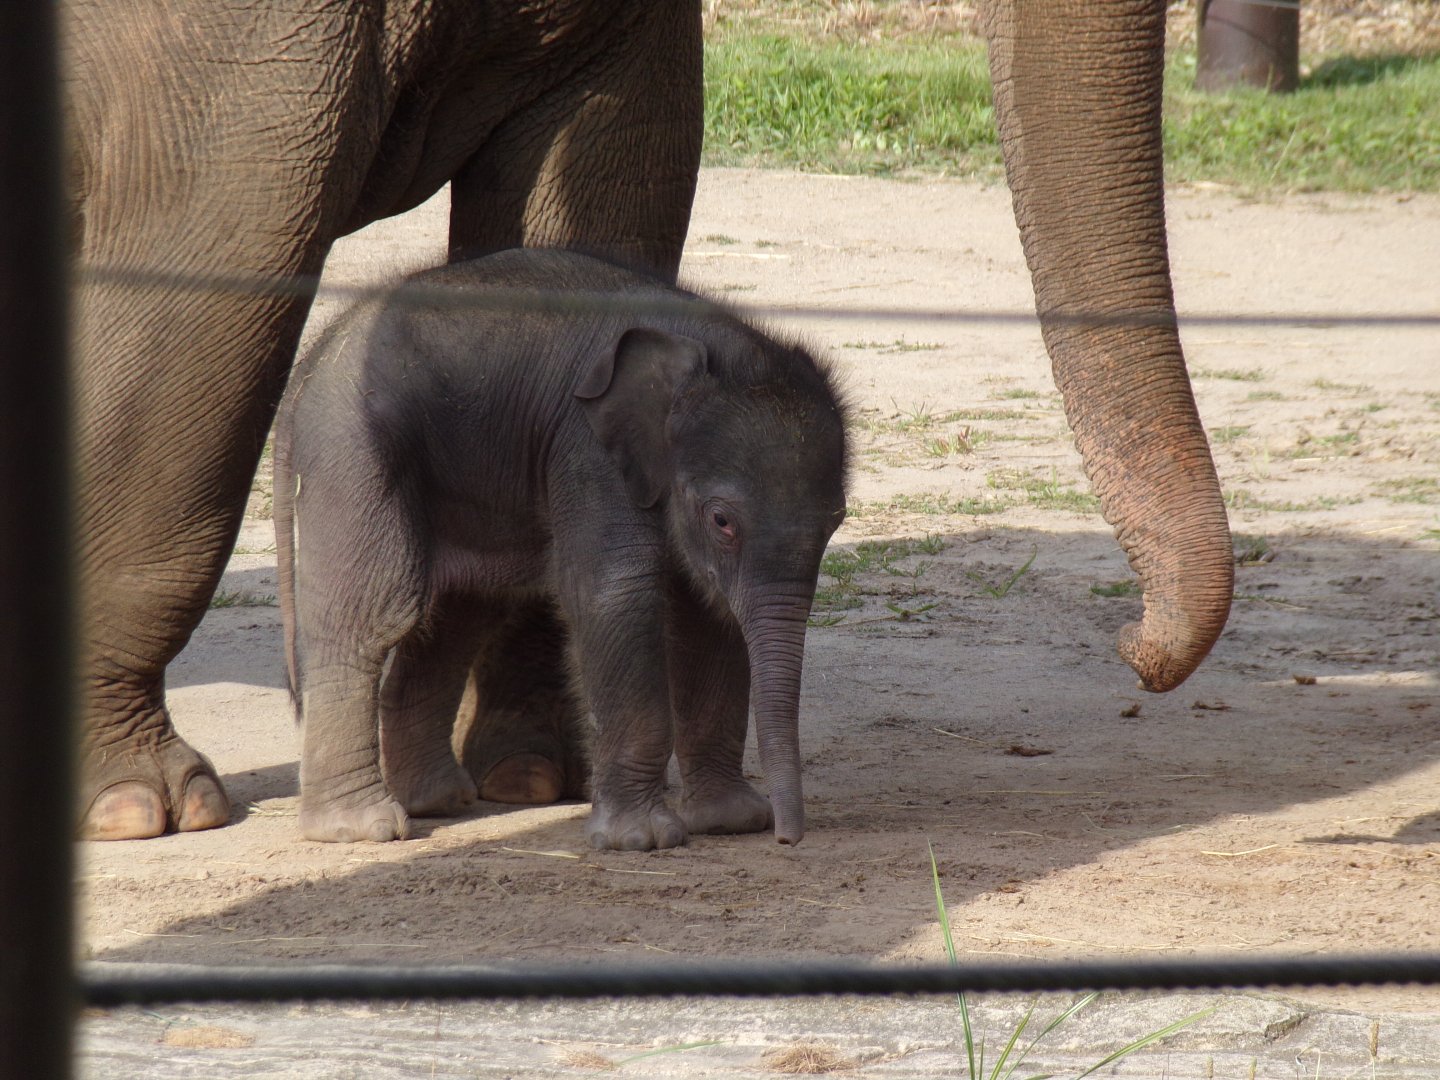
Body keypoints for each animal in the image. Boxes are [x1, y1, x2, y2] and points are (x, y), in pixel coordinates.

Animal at [273, 248, 848, 848]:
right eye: (722, 520)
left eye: (837, 521)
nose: (787, 839)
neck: (704, 343)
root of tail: (312, 361)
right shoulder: (587, 449)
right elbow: (614, 595)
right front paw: (642, 840)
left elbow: (710, 616)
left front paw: (728, 822)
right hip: (352, 451)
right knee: (375, 610)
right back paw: (363, 827)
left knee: (464, 608)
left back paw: (438, 801)